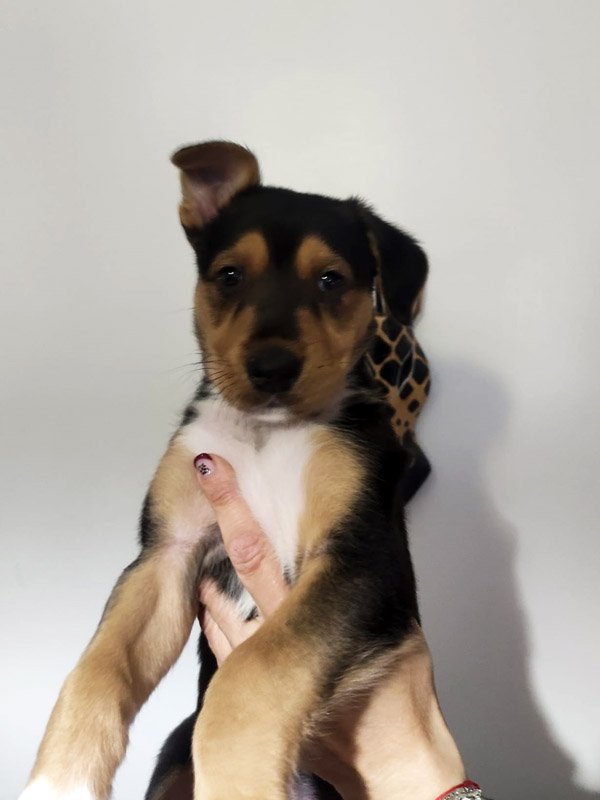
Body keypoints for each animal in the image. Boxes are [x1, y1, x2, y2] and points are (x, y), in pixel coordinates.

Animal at [19, 141, 475, 800]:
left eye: (331, 280)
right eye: (230, 275)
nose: (272, 367)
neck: (267, 433)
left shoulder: (360, 555)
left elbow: (251, 676)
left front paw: (238, 781)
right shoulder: (166, 555)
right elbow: (97, 668)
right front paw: (59, 781)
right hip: (170, 757)